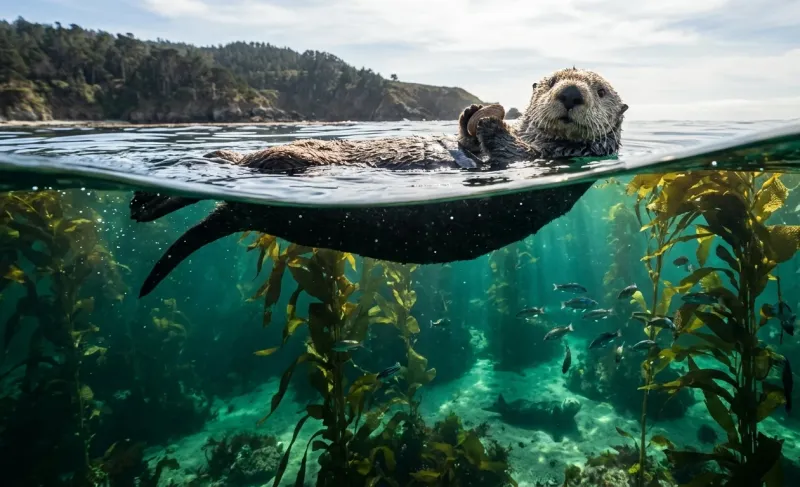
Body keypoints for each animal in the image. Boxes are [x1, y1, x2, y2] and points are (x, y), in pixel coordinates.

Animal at [132, 68, 627, 297]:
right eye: (552, 80)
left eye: (601, 90)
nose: (571, 93)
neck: (546, 148)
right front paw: (474, 113)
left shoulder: (533, 159)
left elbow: (501, 148)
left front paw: (488, 117)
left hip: (292, 162)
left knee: (243, 162)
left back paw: (147, 198)